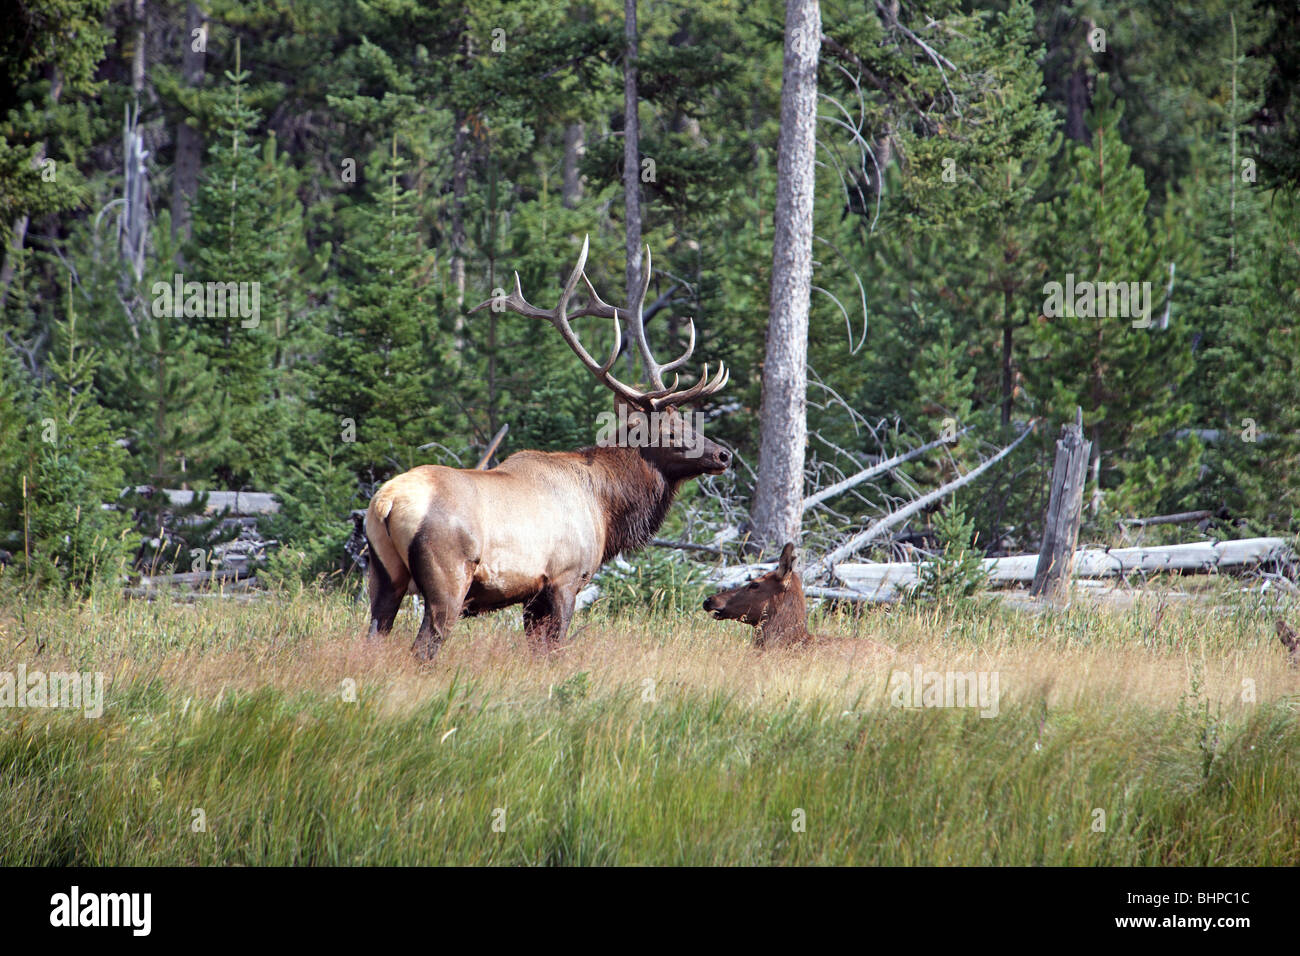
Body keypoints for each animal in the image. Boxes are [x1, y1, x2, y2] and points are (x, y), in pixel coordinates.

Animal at [366, 235, 733, 660]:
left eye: (688, 421)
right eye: (669, 432)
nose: (723, 454)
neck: (606, 508)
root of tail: (386, 503)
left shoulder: (533, 593)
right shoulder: (565, 577)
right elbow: (553, 649)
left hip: (383, 575)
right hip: (448, 575)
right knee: (425, 645)